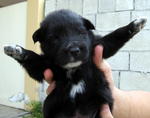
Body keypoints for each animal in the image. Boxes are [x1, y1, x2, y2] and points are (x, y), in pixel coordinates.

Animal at [4, 9, 146, 118]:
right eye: (54, 38)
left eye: (81, 32)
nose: (74, 50)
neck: (74, 69)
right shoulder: (44, 66)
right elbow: (32, 60)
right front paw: (16, 50)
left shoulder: (98, 46)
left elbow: (113, 38)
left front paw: (134, 25)